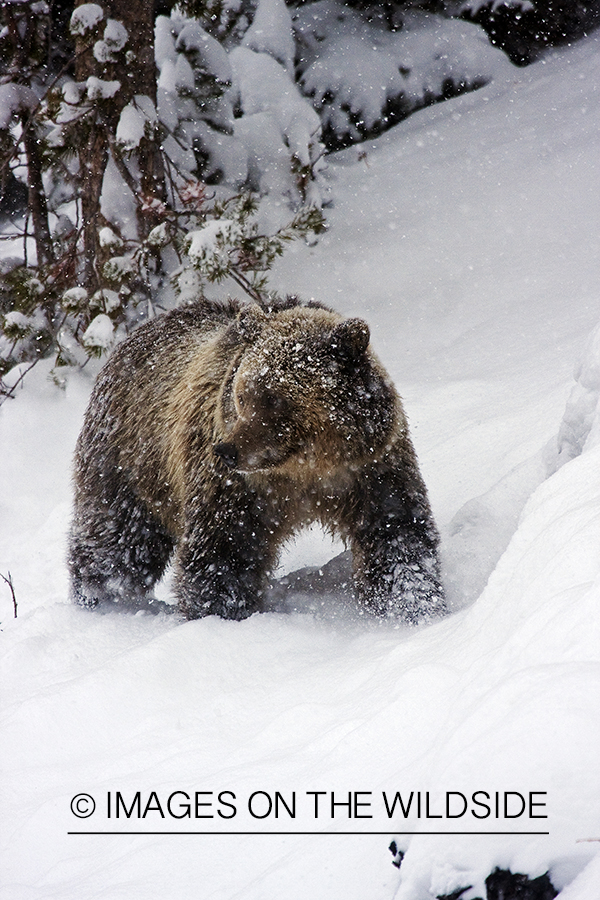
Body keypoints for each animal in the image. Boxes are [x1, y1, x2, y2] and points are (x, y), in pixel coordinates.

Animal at [68, 295, 446, 624]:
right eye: (242, 395)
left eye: (275, 399)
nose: (228, 450)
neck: (305, 470)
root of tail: (132, 336)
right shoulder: (235, 490)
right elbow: (222, 555)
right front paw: (221, 614)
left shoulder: (370, 469)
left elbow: (395, 535)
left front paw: (415, 608)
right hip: (129, 462)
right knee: (118, 542)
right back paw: (98, 597)